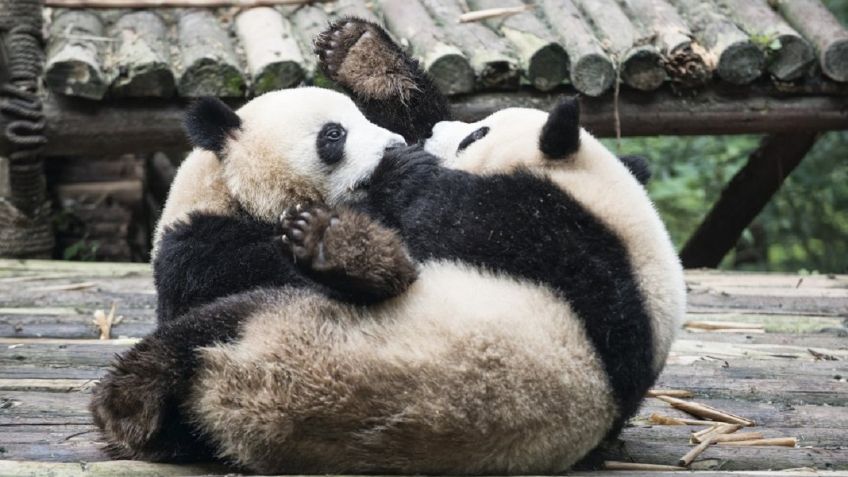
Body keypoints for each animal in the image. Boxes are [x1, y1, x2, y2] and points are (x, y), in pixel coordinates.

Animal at [89, 16, 684, 474]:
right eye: (334, 134)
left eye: (364, 121)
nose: (398, 146)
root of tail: (235, 396)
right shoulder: (195, 242)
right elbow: (232, 268)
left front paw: (364, 61)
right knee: (189, 341)